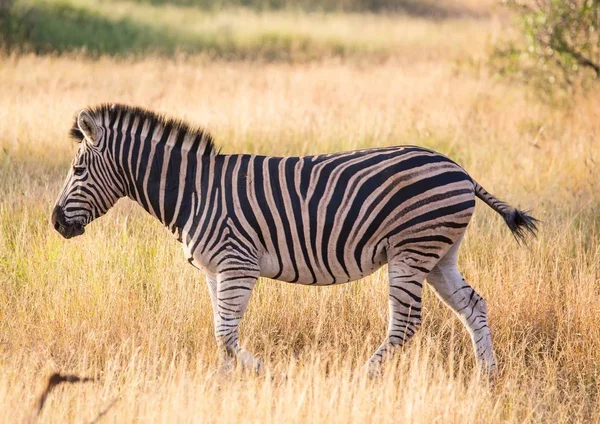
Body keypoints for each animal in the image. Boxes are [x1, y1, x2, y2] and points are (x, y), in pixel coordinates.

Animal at [52, 104, 540, 376]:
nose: (56, 223)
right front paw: (221, 386)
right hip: (438, 255)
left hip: (411, 250)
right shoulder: (214, 271)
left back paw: (364, 377)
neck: (195, 191)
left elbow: (225, 333)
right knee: (474, 305)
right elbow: (220, 334)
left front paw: (265, 373)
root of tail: (461, 170)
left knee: (405, 323)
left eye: (77, 170)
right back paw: (488, 377)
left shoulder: (237, 264)